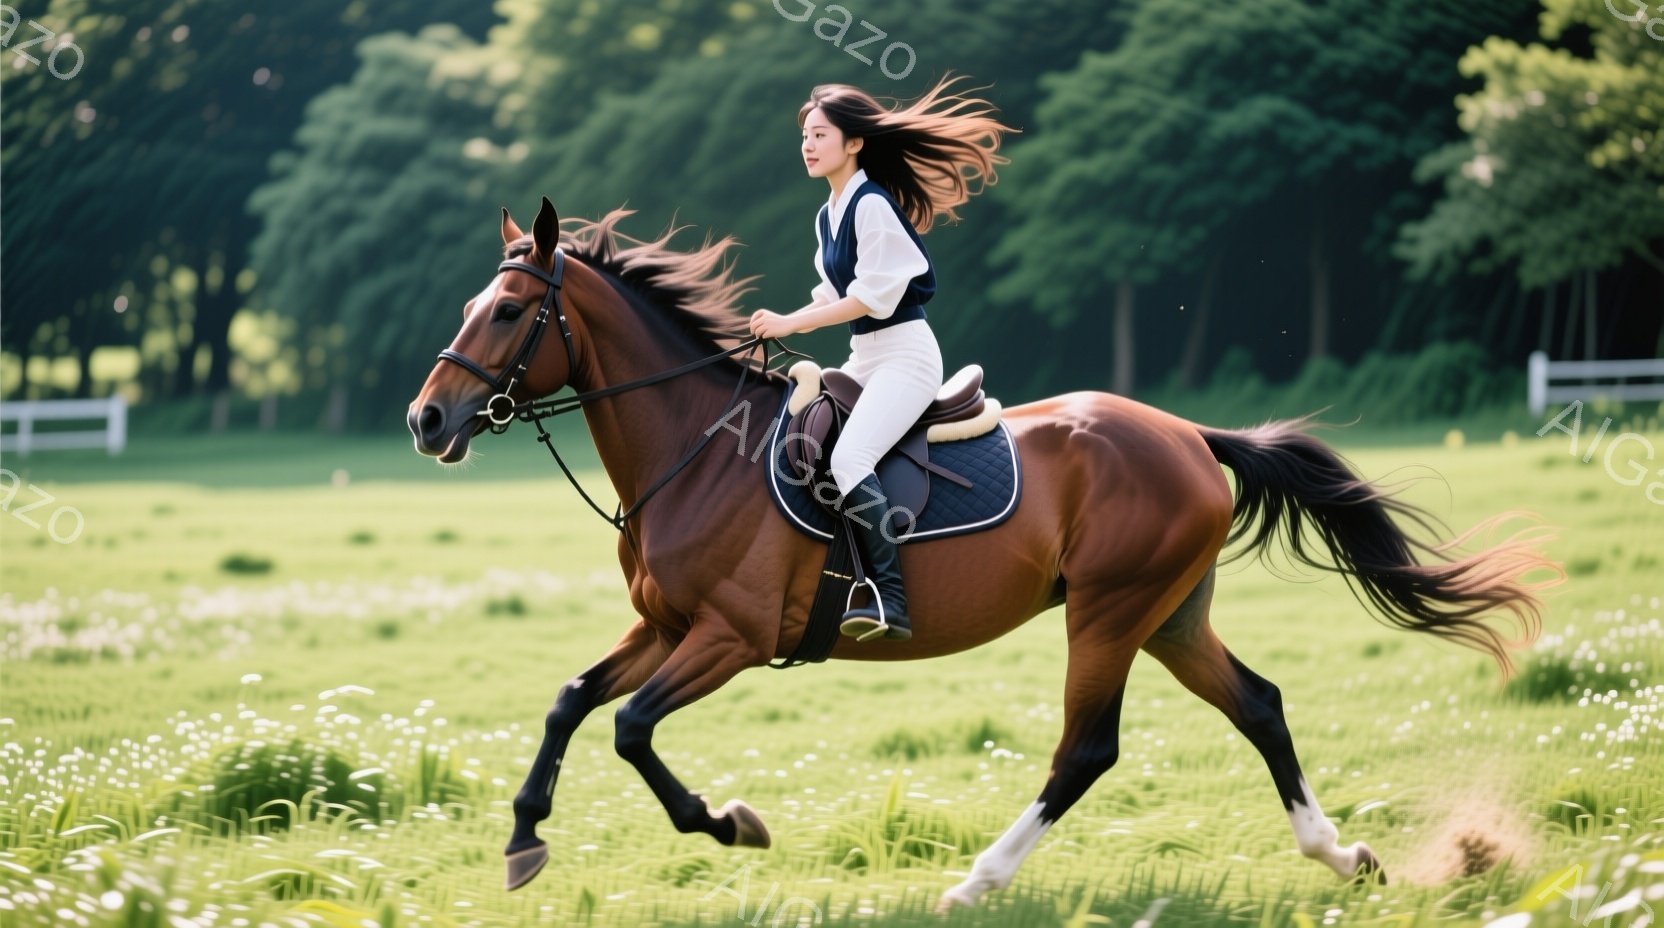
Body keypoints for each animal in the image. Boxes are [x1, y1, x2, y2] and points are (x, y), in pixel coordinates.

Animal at [407, 197, 1559, 911]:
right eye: (470, 306)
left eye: (508, 310)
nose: (426, 421)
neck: (690, 448)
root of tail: (1190, 434)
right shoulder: (666, 625)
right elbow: (570, 701)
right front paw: (522, 840)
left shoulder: (728, 636)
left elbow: (632, 731)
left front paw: (729, 823)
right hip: (1170, 615)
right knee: (1260, 705)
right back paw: (1341, 853)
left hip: (1108, 613)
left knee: (1085, 751)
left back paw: (976, 884)